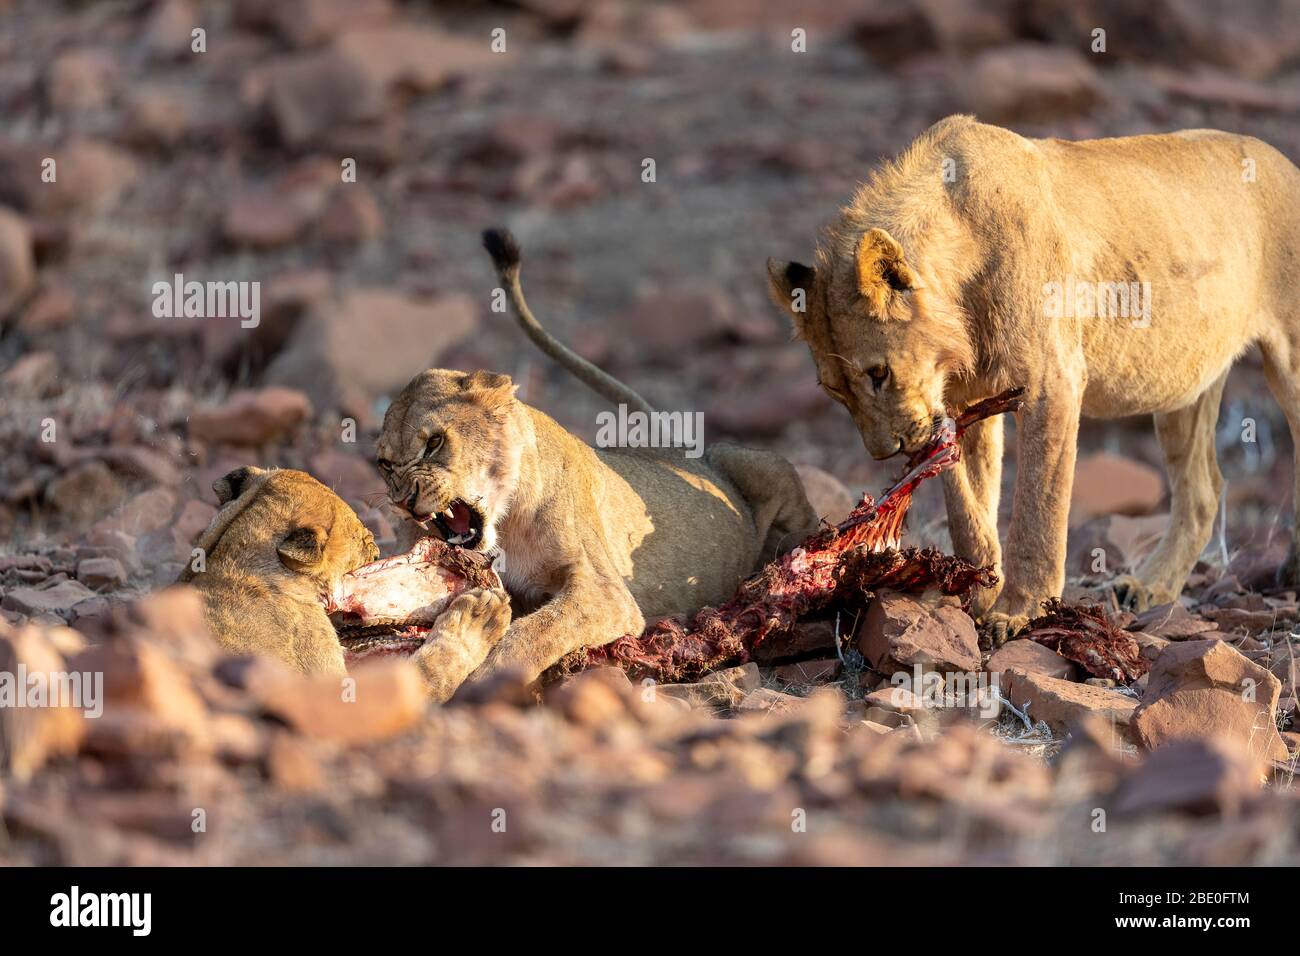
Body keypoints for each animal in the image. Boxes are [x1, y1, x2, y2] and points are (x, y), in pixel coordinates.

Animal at [373, 230, 820, 689]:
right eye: (385, 465)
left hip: (758, 462)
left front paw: (485, 673)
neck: (505, 523)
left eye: (434, 443)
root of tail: (680, 449)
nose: (403, 501)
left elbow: (538, 629)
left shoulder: (606, 592)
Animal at [766, 115, 1300, 641]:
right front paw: (975, 585)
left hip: (1289, 363)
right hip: (1184, 386)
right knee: (1203, 491)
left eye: (878, 373)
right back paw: (1148, 587)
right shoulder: (963, 399)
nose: (885, 452)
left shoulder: (1052, 381)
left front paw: (1019, 611)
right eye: (837, 392)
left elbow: (1039, 507)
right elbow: (965, 502)